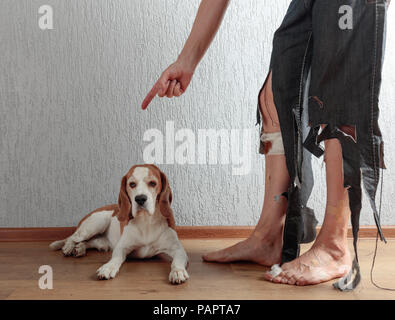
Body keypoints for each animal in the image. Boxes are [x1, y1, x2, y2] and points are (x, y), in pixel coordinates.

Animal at [49, 164, 190, 284]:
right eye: (132, 184)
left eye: (152, 183)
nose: (140, 198)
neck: (146, 222)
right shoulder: (122, 247)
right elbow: (115, 259)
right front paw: (108, 267)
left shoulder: (178, 249)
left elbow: (176, 261)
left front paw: (178, 272)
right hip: (95, 224)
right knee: (73, 237)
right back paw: (68, 247)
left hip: (102, 241)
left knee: (90, 242)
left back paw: (80, 248)